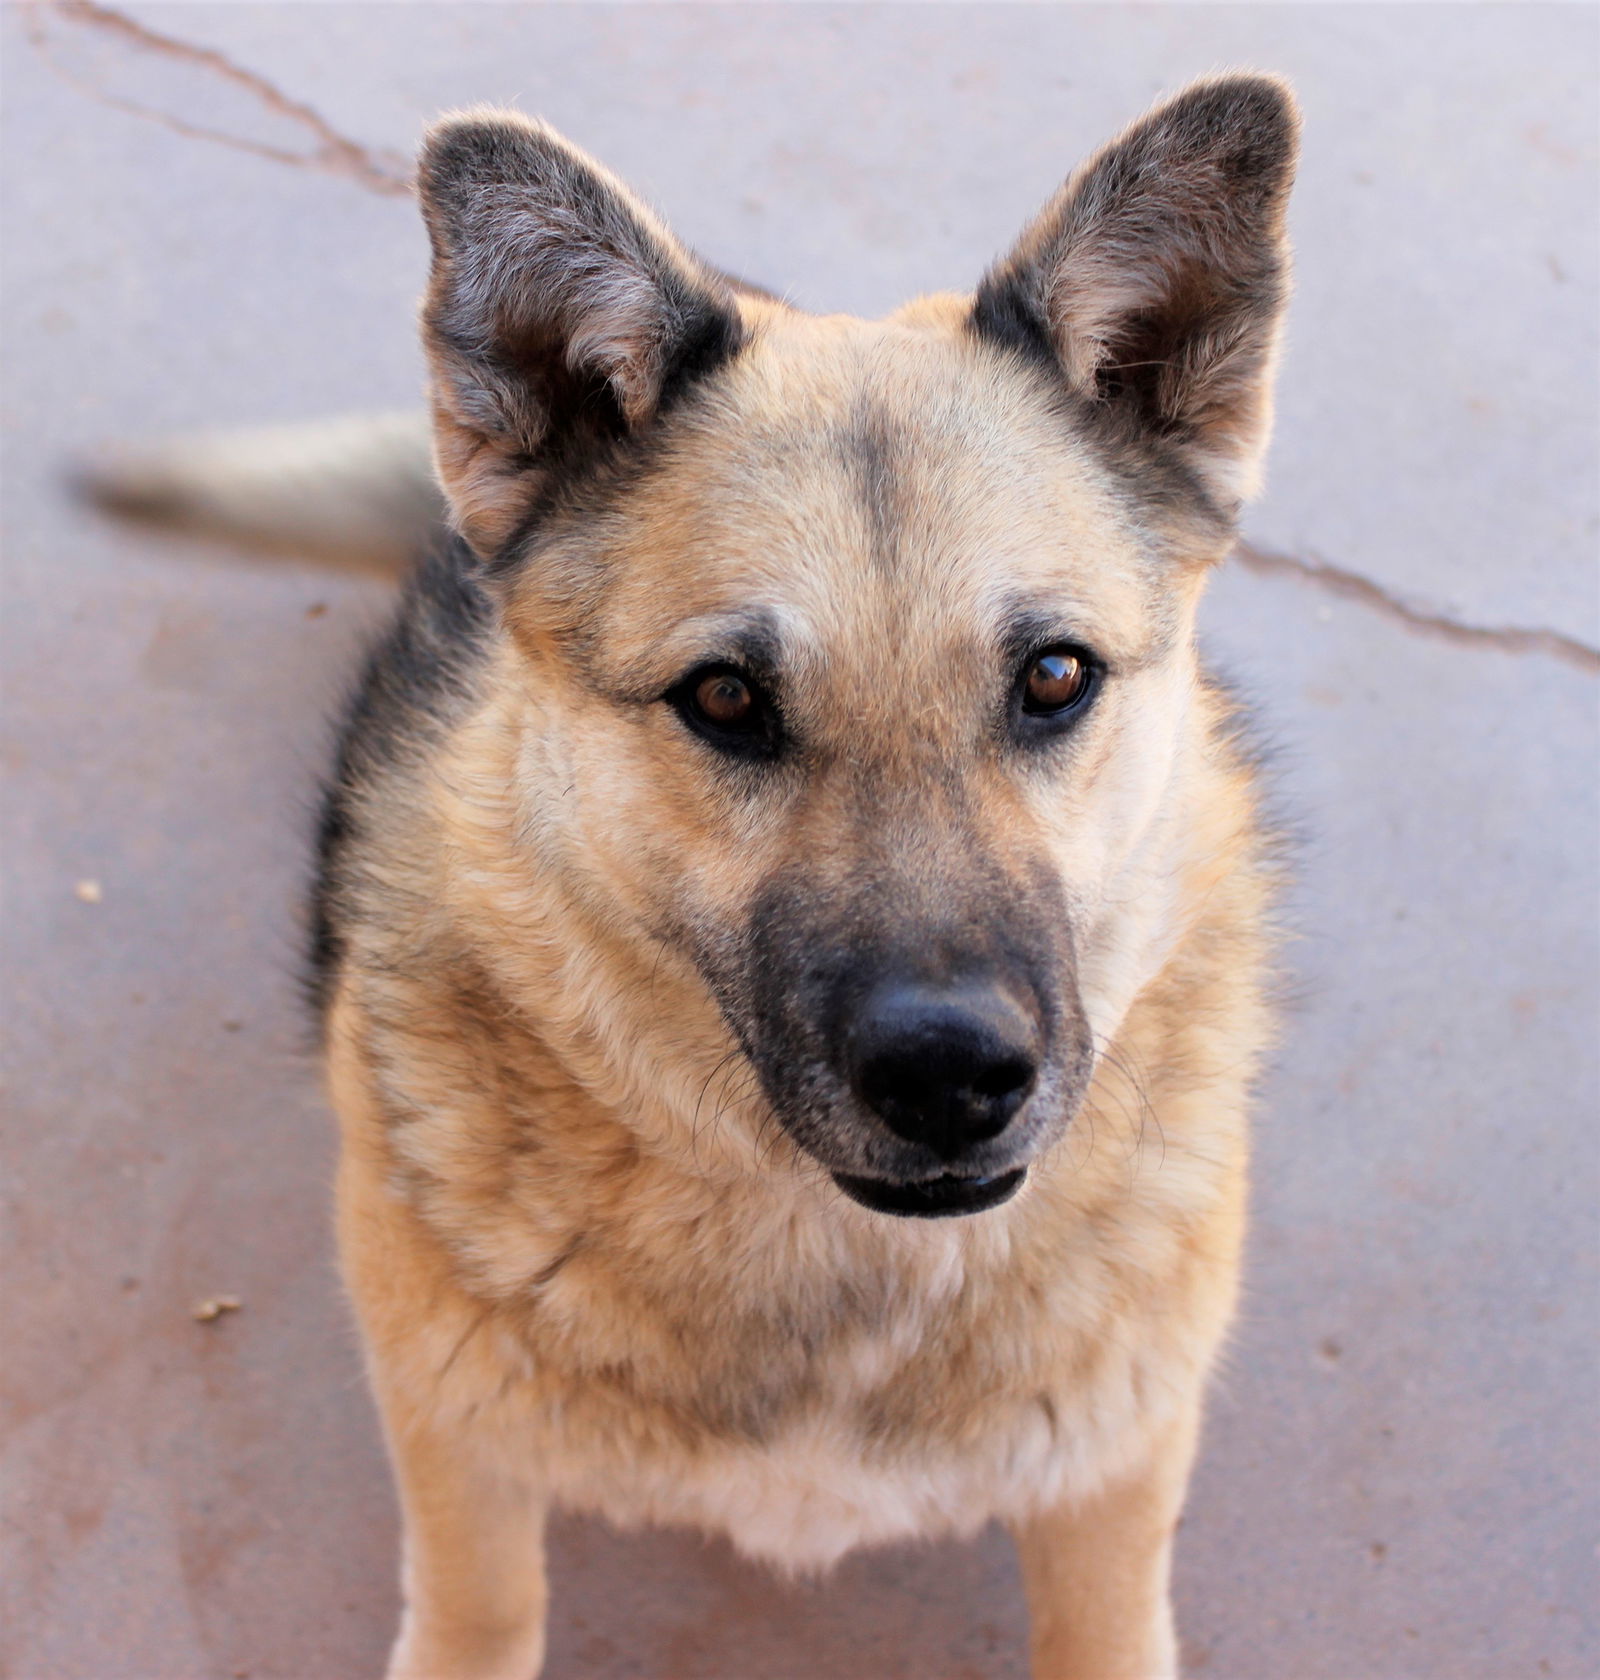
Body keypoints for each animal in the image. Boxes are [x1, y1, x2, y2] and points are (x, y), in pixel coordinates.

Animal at [90, 72, 1297, 1673]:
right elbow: (479, 1612)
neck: (836, 1260)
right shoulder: (458, 1458)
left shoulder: (1109, 1495)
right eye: (724, 699)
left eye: (1054, 677)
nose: (952, 1079)